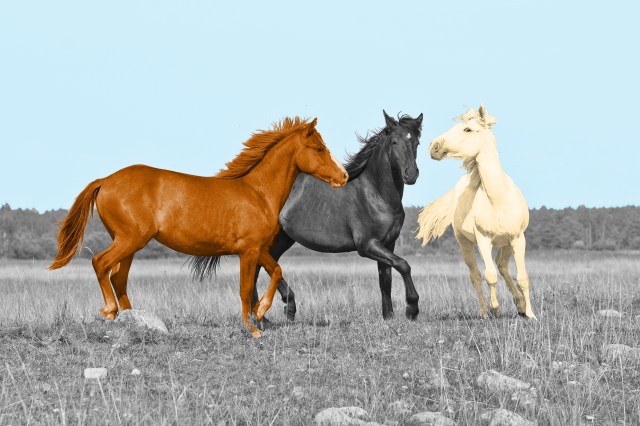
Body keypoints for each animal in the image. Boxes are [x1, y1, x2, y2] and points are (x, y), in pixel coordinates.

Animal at [49, 117, 348, 337]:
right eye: (319, 148)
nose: (343, 176)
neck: (258, 193)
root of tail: (105, 180)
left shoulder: (257, 249)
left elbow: (275, 271)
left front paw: (262, 312)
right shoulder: (249, 251)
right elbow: (245, 289)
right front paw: (253, 328)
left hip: (130, 244)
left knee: (118, 277)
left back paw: (136, 321)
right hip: (129, 240)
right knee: (101, 263)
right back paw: (110, 311)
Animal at [191, 111, 422, 321]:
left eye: (417, 142)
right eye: (394, 141)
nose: (411, 175)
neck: (375, 194)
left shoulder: (387, 243)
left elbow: (386, 279)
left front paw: (389, 316)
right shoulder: (367, 245)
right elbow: (404, 265)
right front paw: (411, 309)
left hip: (282, 239)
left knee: (260, 268)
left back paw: (263, 316)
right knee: (262, 268)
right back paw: (280, 309)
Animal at [416, 105, 536, 319]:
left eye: (468, 129)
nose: (434, 146)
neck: (498, 200)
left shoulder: (518, 239)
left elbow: (522, 277)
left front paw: (530, 314)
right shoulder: (483, 240)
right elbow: (490, 276)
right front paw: (496, 309)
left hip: (506, 243)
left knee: (502, 266)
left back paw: (520, 305)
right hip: (465, 244)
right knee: (476, 275)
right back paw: (485, 312)